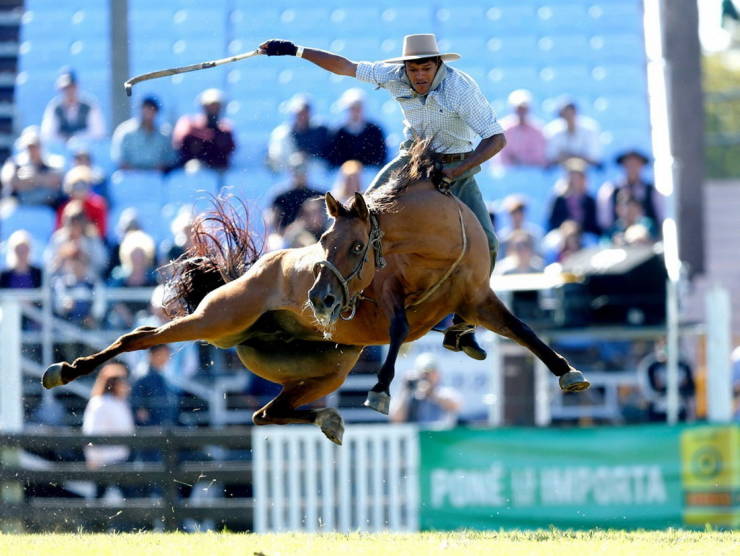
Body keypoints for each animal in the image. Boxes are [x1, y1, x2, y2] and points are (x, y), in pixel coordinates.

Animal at [44, 141, 588, 446]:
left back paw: (328, 419)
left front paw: (568, 373)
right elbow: (397, 330)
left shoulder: (476, 300)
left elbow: (525, 332)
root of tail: (249, 272)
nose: (321, 300)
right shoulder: (388, 303)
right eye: (323, 241)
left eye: (354, 245)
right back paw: (65, 370)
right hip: (216, 321)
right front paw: (381, 390)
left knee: (268, 412)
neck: (438, 246)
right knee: (140, 336)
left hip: (325, 370)